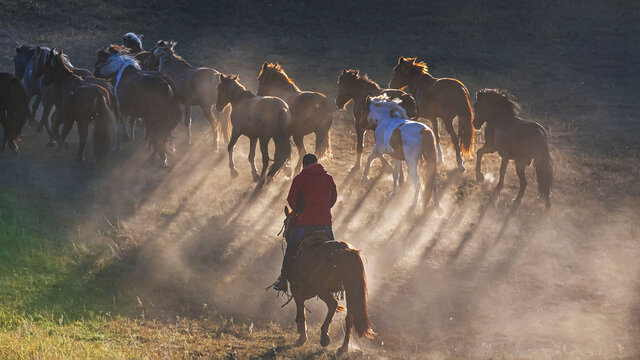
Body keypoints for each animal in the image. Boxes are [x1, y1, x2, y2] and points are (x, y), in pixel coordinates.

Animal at [280, 207, 376, 356]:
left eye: (286, 221)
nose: (286, 235)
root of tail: (346, 250)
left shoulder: (297, 290)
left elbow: (302, 312)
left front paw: (301, 338)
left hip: (321, 288)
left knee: (332, 304)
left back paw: (324, 336)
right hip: (350, 290)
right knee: (349, 317)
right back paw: (343, 348)